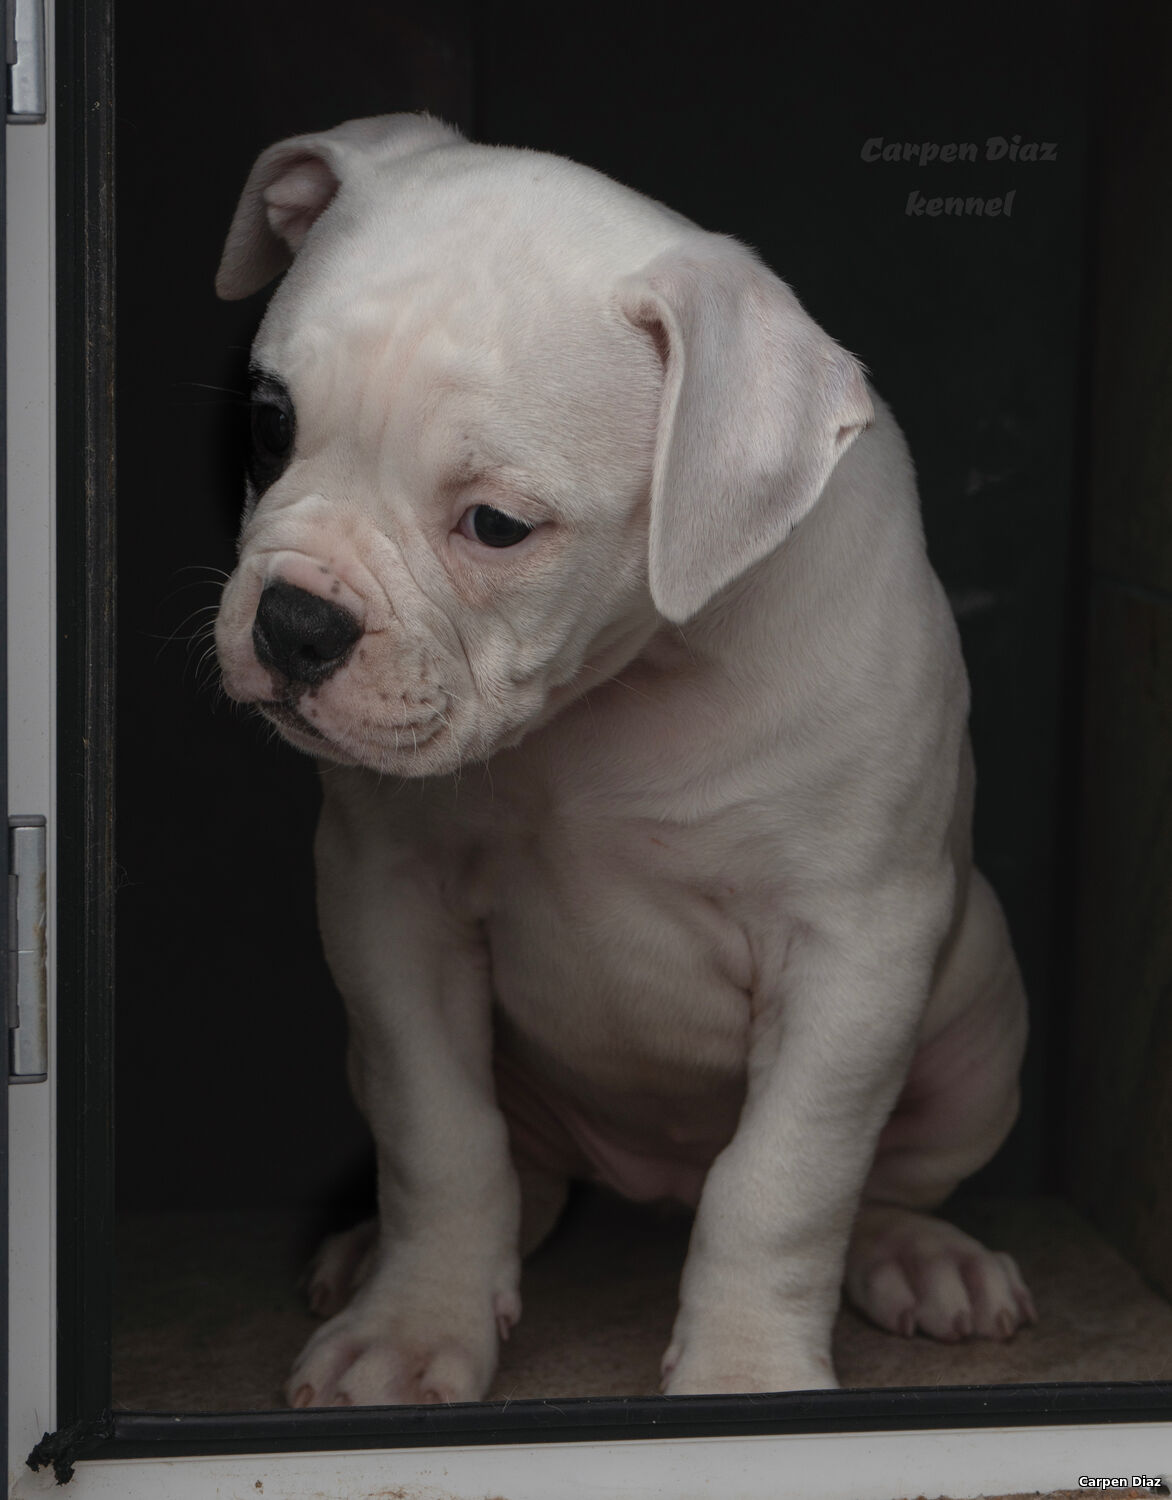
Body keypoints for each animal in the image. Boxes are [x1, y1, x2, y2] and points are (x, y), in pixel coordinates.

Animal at [213, 114, 1034, 1406]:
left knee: (877, 1182)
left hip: (979, 1016)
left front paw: (745, 1377)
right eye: (267, 425)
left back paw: (920, 1259)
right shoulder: (388, 904)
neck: (617, 686)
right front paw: (413, 1325)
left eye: (498, 526)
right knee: (516, 1165)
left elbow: (785, 1176)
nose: (294, 623)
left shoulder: (851, 947)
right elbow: (440, 1136)